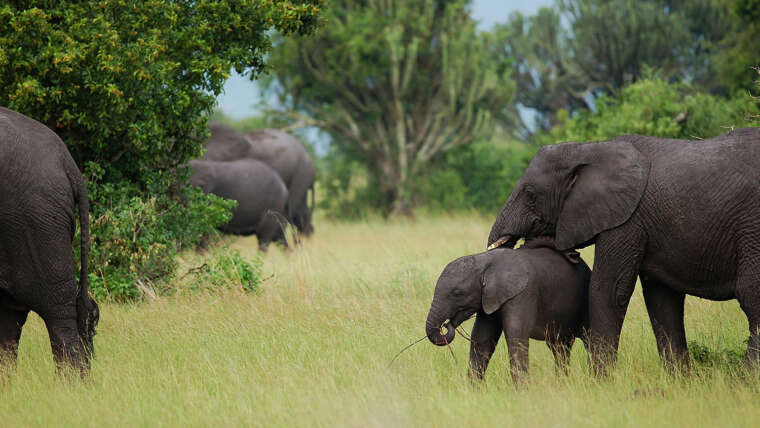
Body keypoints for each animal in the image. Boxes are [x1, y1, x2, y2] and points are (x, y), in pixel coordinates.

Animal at [424, 241, 592, 384]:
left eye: (457, 293)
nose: (447, 325)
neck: (485, 262)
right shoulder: (489, 298)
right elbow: (482, 338)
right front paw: (474, 389)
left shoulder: (523, 293)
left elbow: (516, 335)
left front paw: (522, 392)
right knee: (560, 348)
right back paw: (562, 383)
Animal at [486, 129, 760, 372]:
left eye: (530, 195)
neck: (591, 148)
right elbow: (662, 301)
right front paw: (679, 380)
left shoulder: (627, 219)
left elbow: (608, 289)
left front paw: (599, 381)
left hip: (752, 228)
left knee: (751, 295)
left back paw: (744, 379)